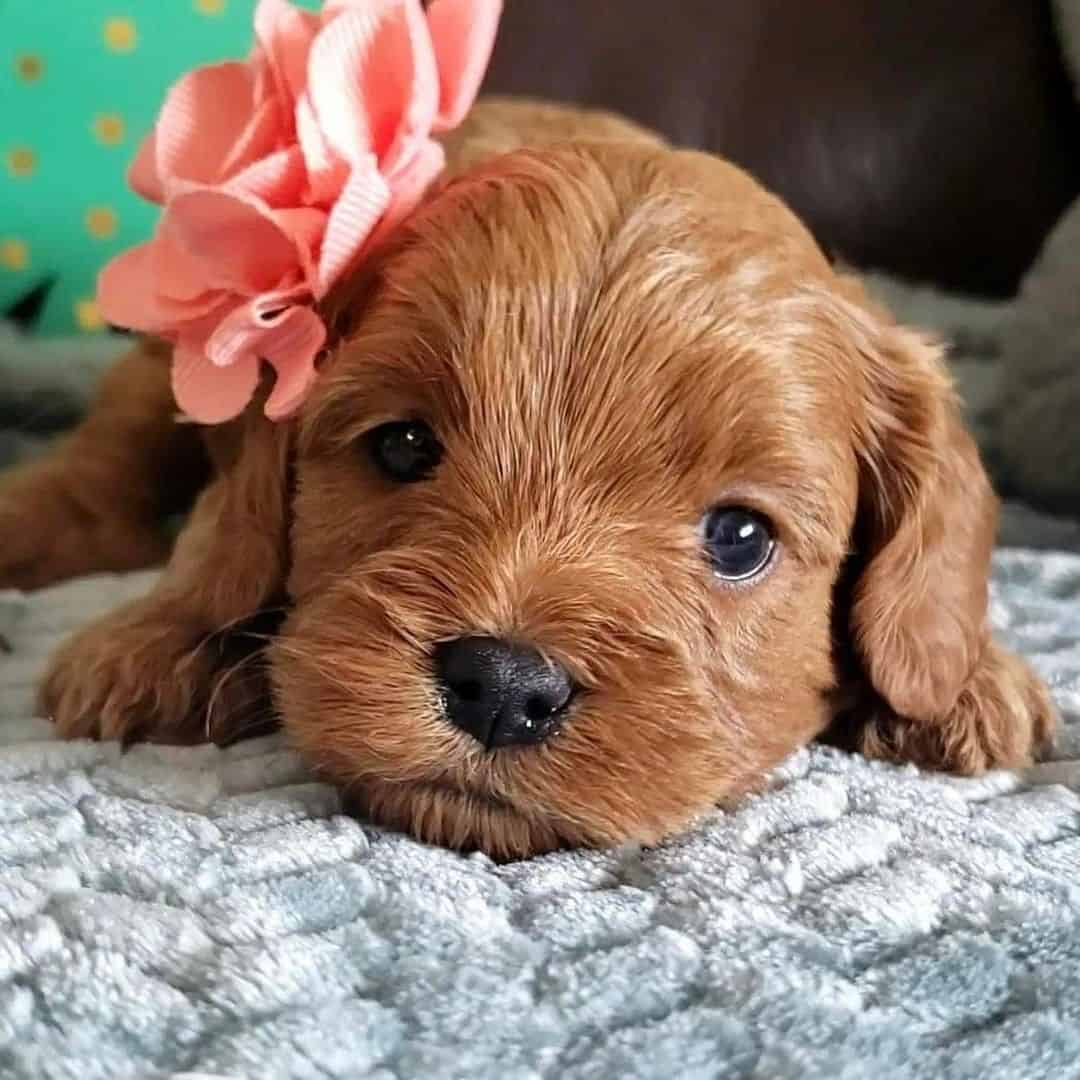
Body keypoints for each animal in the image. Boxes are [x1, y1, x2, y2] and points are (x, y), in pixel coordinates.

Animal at [0, 101, 1054, 859]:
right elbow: (220, 538)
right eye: (402, 447)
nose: (503, 686)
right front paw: (160, 639)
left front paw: (965, 678)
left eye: (741, 537)